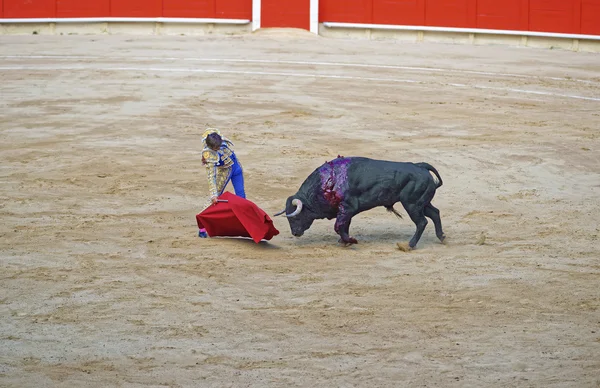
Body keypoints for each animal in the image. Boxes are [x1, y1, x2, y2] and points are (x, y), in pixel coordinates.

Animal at [274, 156, 442, 250]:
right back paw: (441, 237)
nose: (295, 233)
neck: (325, 184)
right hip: (421, 203)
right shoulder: (345, 212)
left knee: (422, 222)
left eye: (295, 216)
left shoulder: (347, 208)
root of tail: (420, 166)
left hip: (412, 204)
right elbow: (344, 225)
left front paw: (351, 240)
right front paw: (344, 241)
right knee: (434, 213)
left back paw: (409, 245)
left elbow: (338, 226)